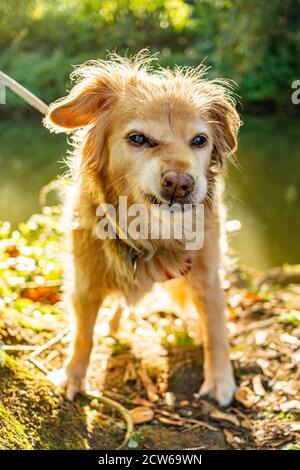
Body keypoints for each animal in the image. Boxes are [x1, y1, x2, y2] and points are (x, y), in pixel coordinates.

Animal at [45, 50, 241, 404]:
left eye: (199, 140)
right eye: (137, 138)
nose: (180, 183)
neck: (150, 229)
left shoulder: (207, 275)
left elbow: (216, 329)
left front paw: (221, 379)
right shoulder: (85, 280)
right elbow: (83, 333)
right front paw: (73, 375)